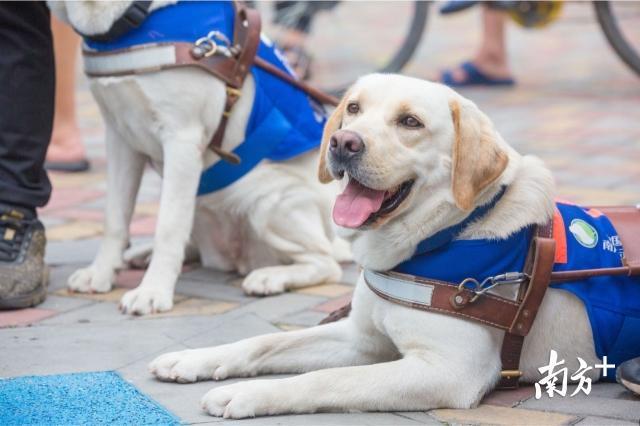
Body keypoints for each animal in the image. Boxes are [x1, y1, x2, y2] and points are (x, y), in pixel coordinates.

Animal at [48, 1, 350, 314]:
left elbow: (168, 227)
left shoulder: (181, 137)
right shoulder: (119, 135)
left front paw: (152, 291)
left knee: (325, 262)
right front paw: (100, 273)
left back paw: (270, 277)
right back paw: (143, 254)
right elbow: (115, 217)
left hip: (267, 201)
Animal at [150, 72, 640, 416]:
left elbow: (324, 381)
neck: (440, 236)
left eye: (410, 122)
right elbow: (263, 343)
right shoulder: (361, 338)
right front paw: (194, 359)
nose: (342, 142)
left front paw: (246, 394)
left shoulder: (449, 372)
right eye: (353, 108)